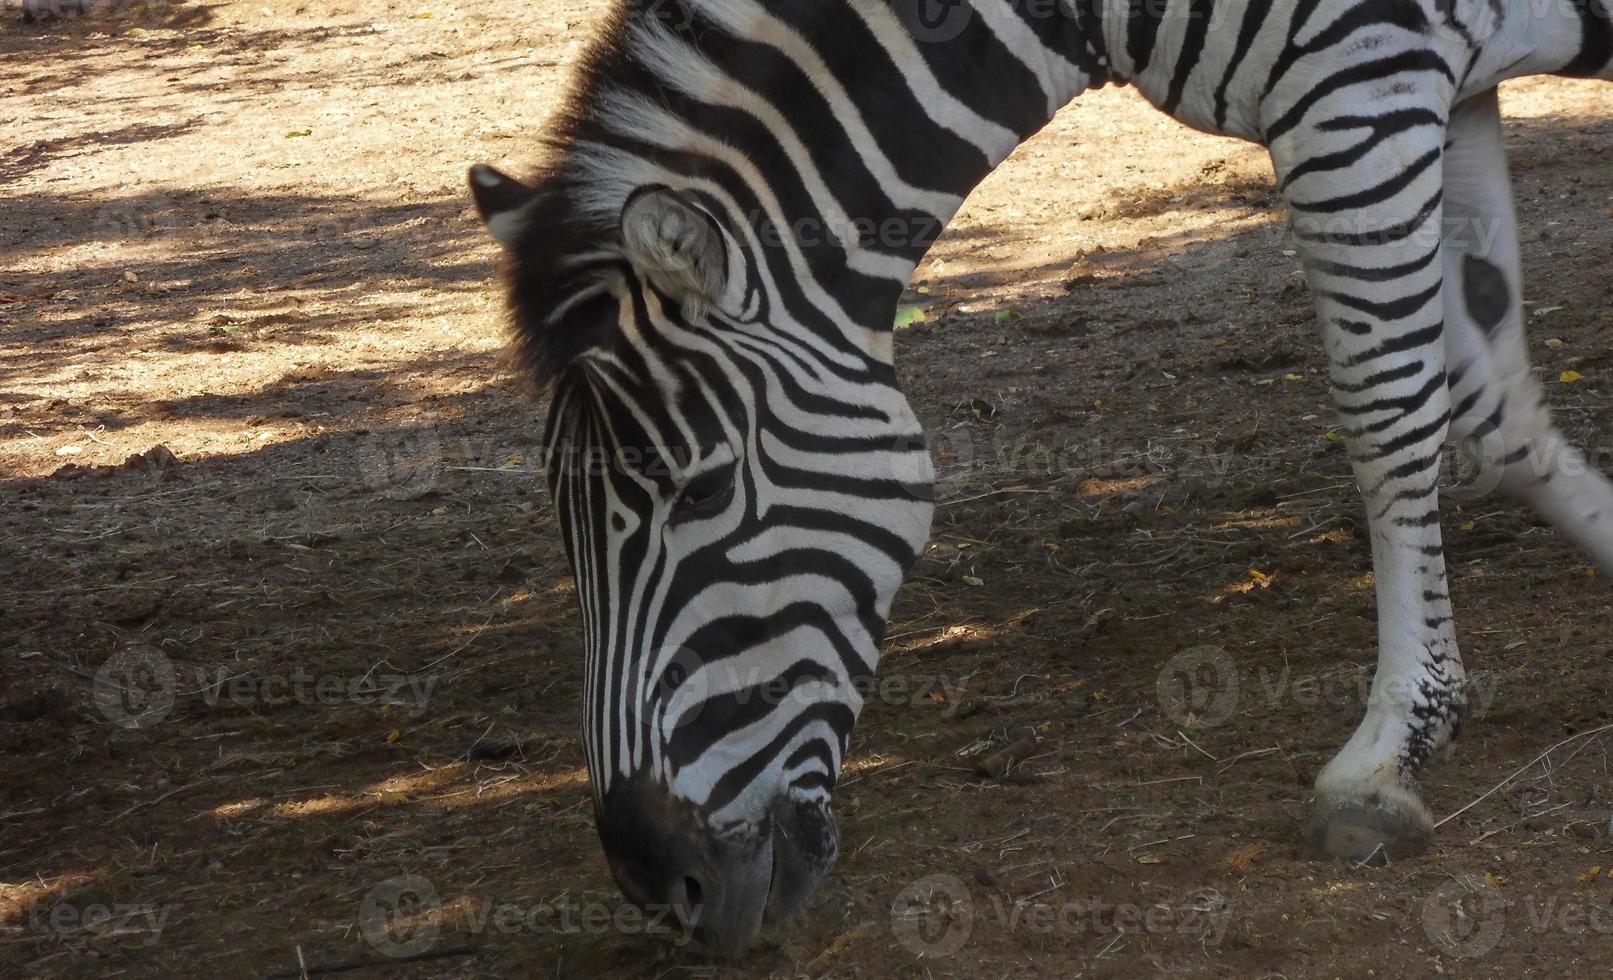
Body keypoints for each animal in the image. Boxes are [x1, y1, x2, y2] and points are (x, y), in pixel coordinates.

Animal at [467, 0, 1613, 954]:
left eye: (698, 491)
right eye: (560, 521)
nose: (655, 883)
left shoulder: (1361, 76)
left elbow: (1388, 409)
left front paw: (1386, 754)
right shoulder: (1439, 84)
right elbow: (1490, 402)